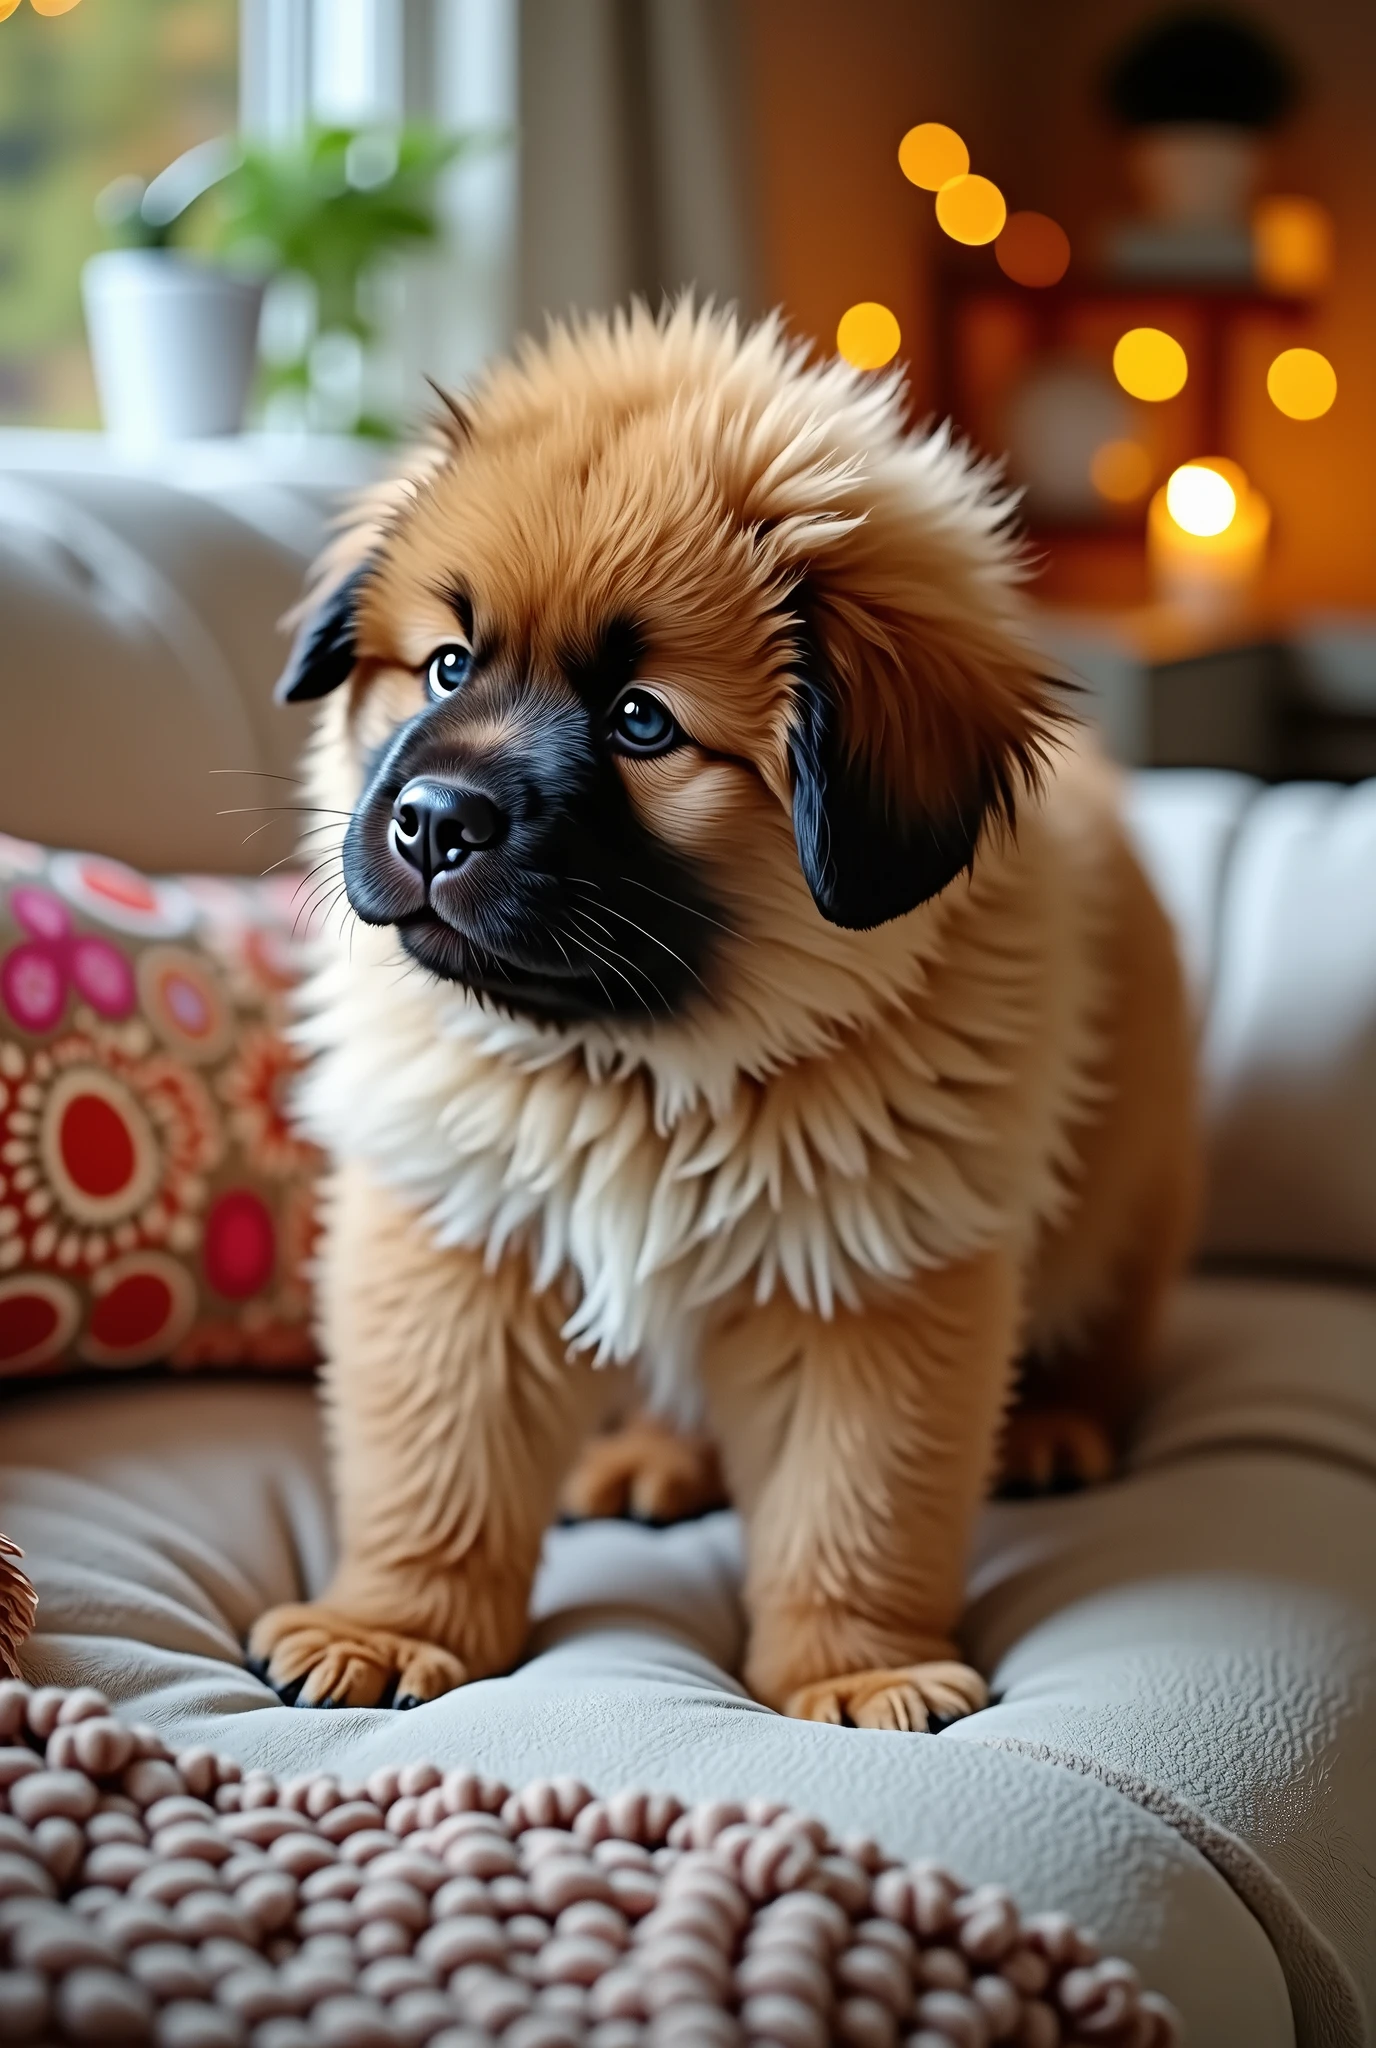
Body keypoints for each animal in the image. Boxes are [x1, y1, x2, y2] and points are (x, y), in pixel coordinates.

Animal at [252, 299, 1195, 1728]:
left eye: (641, 723)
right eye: (447, 667)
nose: (430, 821)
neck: (642, 1067)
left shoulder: (870, 1280)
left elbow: (850, 1509)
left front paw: (857, 1668)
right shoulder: (458, 1240)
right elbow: (434, 1472)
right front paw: (388, 1627)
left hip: (1122, 1198)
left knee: (1102, 1326)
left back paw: (1050, 1429)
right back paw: (650, 1461)